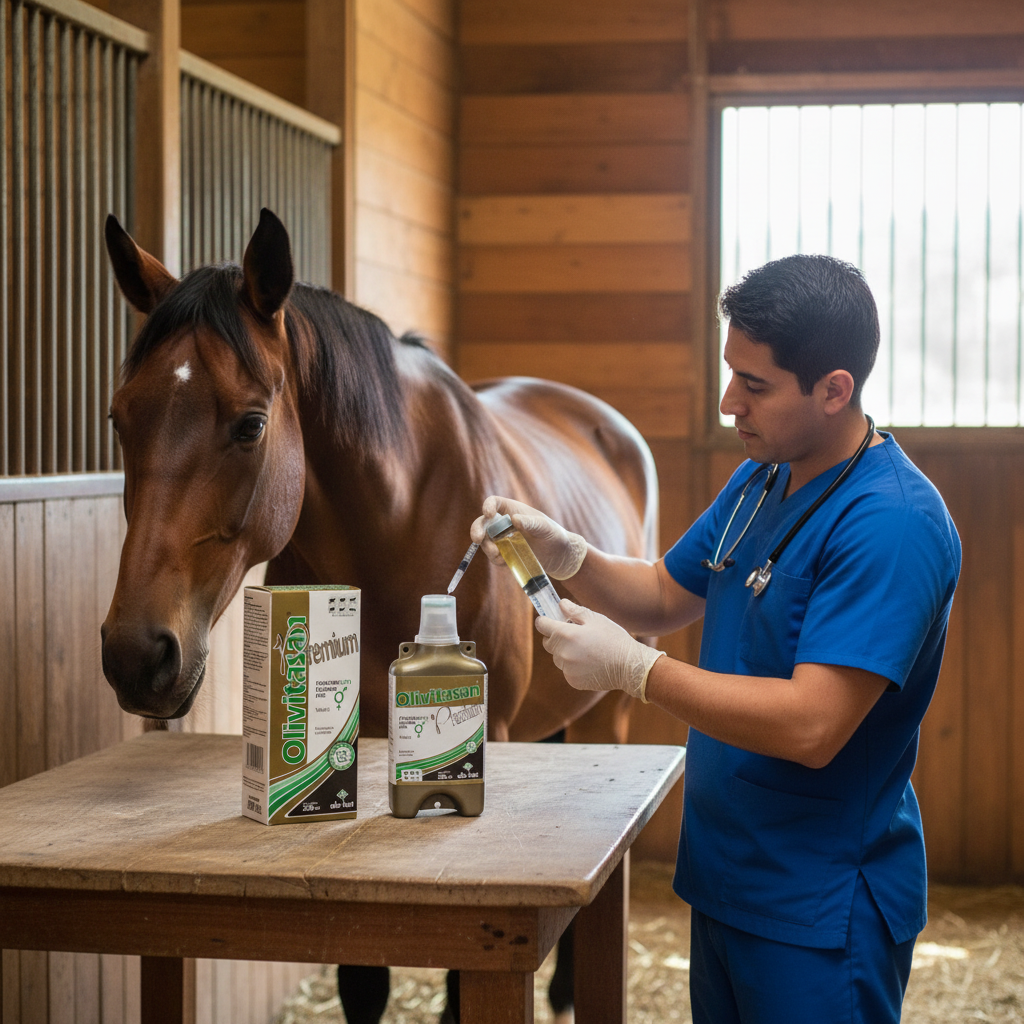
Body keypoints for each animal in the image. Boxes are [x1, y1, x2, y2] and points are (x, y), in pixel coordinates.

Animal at [100, 208, 659, 1023]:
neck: (393, 518)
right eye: (119, 418)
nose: (136, 655)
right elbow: (361, 981)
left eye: (250, 424)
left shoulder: (488, 727)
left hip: (607, 713)